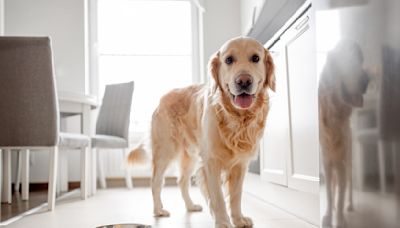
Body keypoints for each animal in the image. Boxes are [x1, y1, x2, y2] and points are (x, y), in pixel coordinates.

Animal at [128, 36, 276, 227]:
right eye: (229, 60)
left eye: (255, 58)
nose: (243, 81)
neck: (236, 118)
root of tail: (163, 98)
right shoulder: (211, 162)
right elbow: (218, 197)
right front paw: (223, 222)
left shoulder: (240, 165)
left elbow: (236, 196)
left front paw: (238, 219)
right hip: (165, 151)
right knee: (156, 182)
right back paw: (158, 210)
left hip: (190, 156)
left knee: (182, 181)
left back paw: (190, 206)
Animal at [318, 40, 368, 227]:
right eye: (345, 59)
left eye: (360, 59)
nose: (366, 80)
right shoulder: (326, 163)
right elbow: (329, 194)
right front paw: (328, 215)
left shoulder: (341, 164)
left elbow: (340, 194)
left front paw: (339, 219)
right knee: (333, 187)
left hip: (350, 161)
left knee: (348, 186)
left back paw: (349, 206)